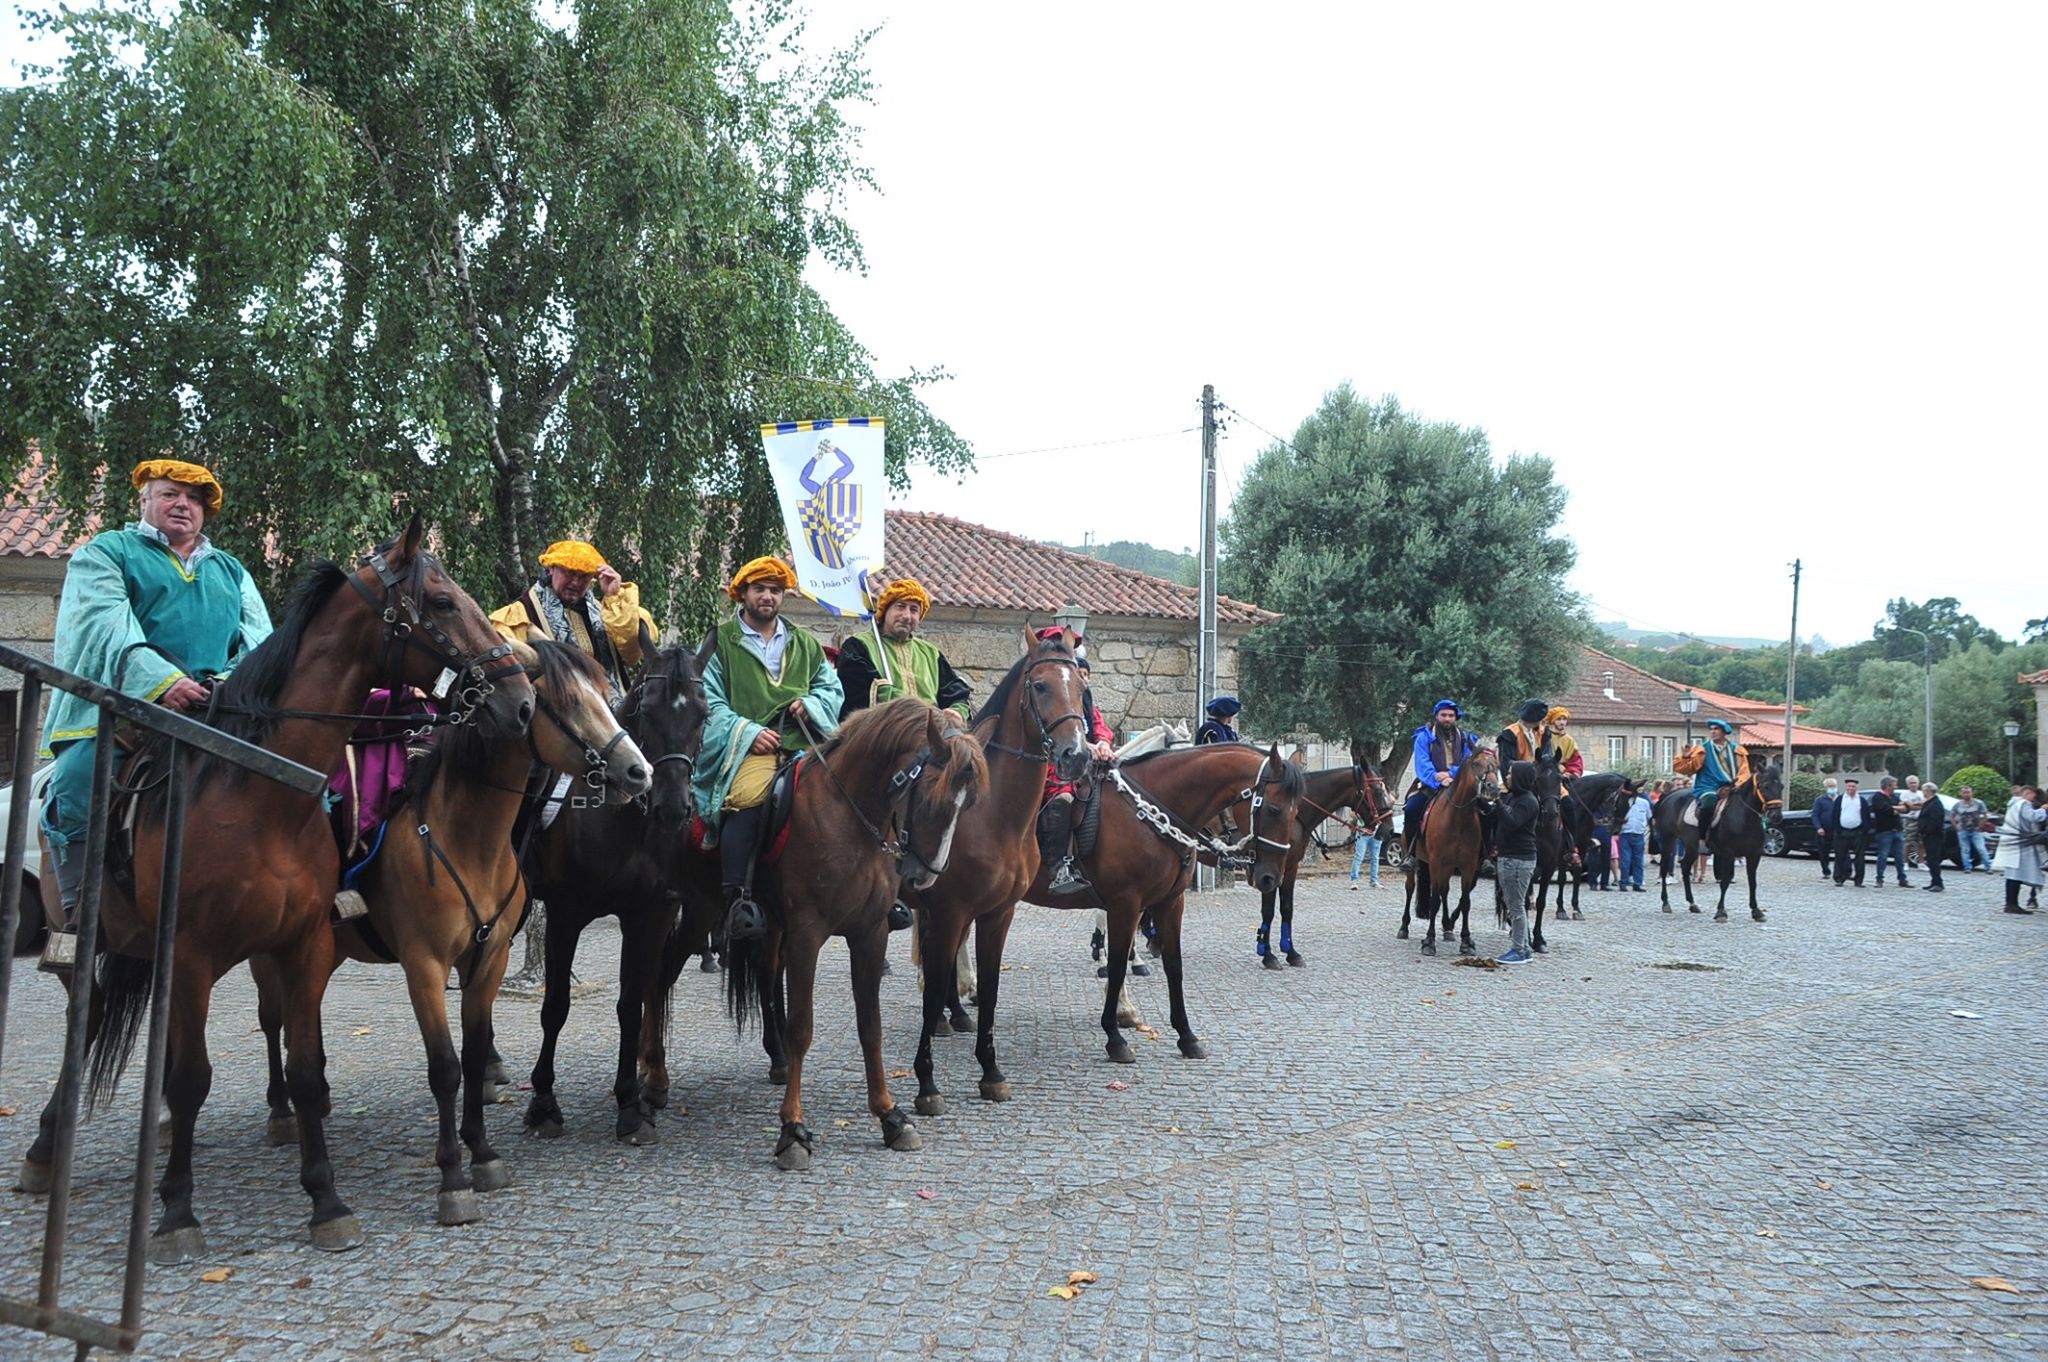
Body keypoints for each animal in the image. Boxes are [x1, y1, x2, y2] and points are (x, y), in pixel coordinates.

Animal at [19, 516, 532, 1261]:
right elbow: (194, 1078)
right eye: (441, 601)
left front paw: (325, 1201)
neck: (258, 793)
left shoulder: (302, 946)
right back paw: (48, 1147)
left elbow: (306, 1071)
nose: (519, 701)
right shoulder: (194, 952)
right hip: (93, 947)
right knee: (82, 1032)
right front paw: (178, 1214)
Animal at [250, 643, 643, 1228]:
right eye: (568, 701)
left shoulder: (489, 961)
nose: (638, 771)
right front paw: (453, 1179)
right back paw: (282, 1111)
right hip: (270, 955)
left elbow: (476, 1054)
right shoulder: (425, 968)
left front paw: (482, 1154)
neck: (467, 838)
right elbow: (445, 1068)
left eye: (606, 691)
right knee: (271, 1019)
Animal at [720, 700, 991, 1171]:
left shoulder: (870, 933)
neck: (846, 817)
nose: (924, 877)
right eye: (934, 800)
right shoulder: (808, 933)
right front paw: (792, 1130)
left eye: (969, 804)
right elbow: (802, 1028)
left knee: (771, 978)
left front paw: (890, 1115)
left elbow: (870, 1025)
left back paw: (779, 1059)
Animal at [905, 630, 1097, 1114]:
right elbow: (932, 990)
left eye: (1081, 688)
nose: (1076, 757)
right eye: (1040, 686)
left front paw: (990, 1073)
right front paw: (927, 1083)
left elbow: (990, 988)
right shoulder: (950, 910)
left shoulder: (997, 914)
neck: (993, 816)